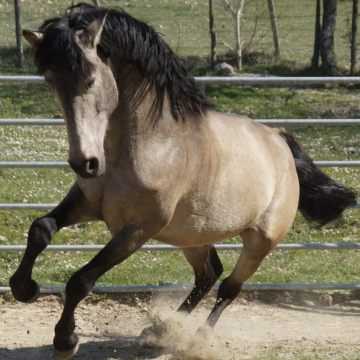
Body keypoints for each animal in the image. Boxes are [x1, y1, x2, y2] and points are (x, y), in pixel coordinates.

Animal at [9, 3, 358, 360]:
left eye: (90, 80)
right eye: (50, 82)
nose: (85, 164)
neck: (146, 143)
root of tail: (281, 144)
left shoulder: (138, 229)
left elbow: (81, 280)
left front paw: (65, 339)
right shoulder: (86, 202)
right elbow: (41, 228)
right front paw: (24, 288)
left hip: (260, 242)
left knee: (229, 286)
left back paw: (199, 339)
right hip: (194, 236)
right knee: (208, 274)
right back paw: (160, 330)